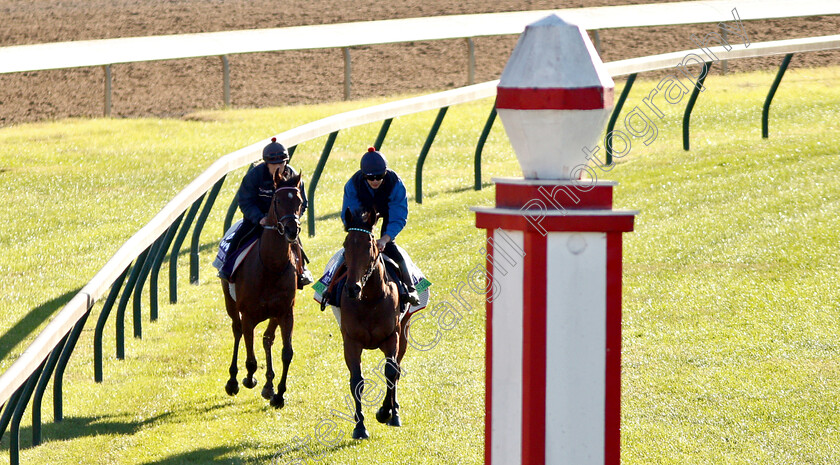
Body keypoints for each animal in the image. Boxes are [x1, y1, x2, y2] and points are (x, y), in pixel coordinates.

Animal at [221, 169, 304, 408]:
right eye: (278, 200)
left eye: (299, 201)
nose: (292, 230)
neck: (270, 266)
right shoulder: (248, 315)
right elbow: (250, 358)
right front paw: (247, 379)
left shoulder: (285, 312)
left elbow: (287, 353)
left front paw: (279, 394)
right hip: (230, 302)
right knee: (237, 331)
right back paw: (233, 380)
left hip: (274, 314)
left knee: (267, 339)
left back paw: (269, 385)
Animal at [338, 207, 410, 438]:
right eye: (346, 245)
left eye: (369, 246)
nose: (352, 288)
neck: (370, 299)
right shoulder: (351, 341)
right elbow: (356, 381)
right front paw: (360, 426)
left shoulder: (392, 336)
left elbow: (391, 372)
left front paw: (389, 413)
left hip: (404, 333)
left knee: (396, 370)